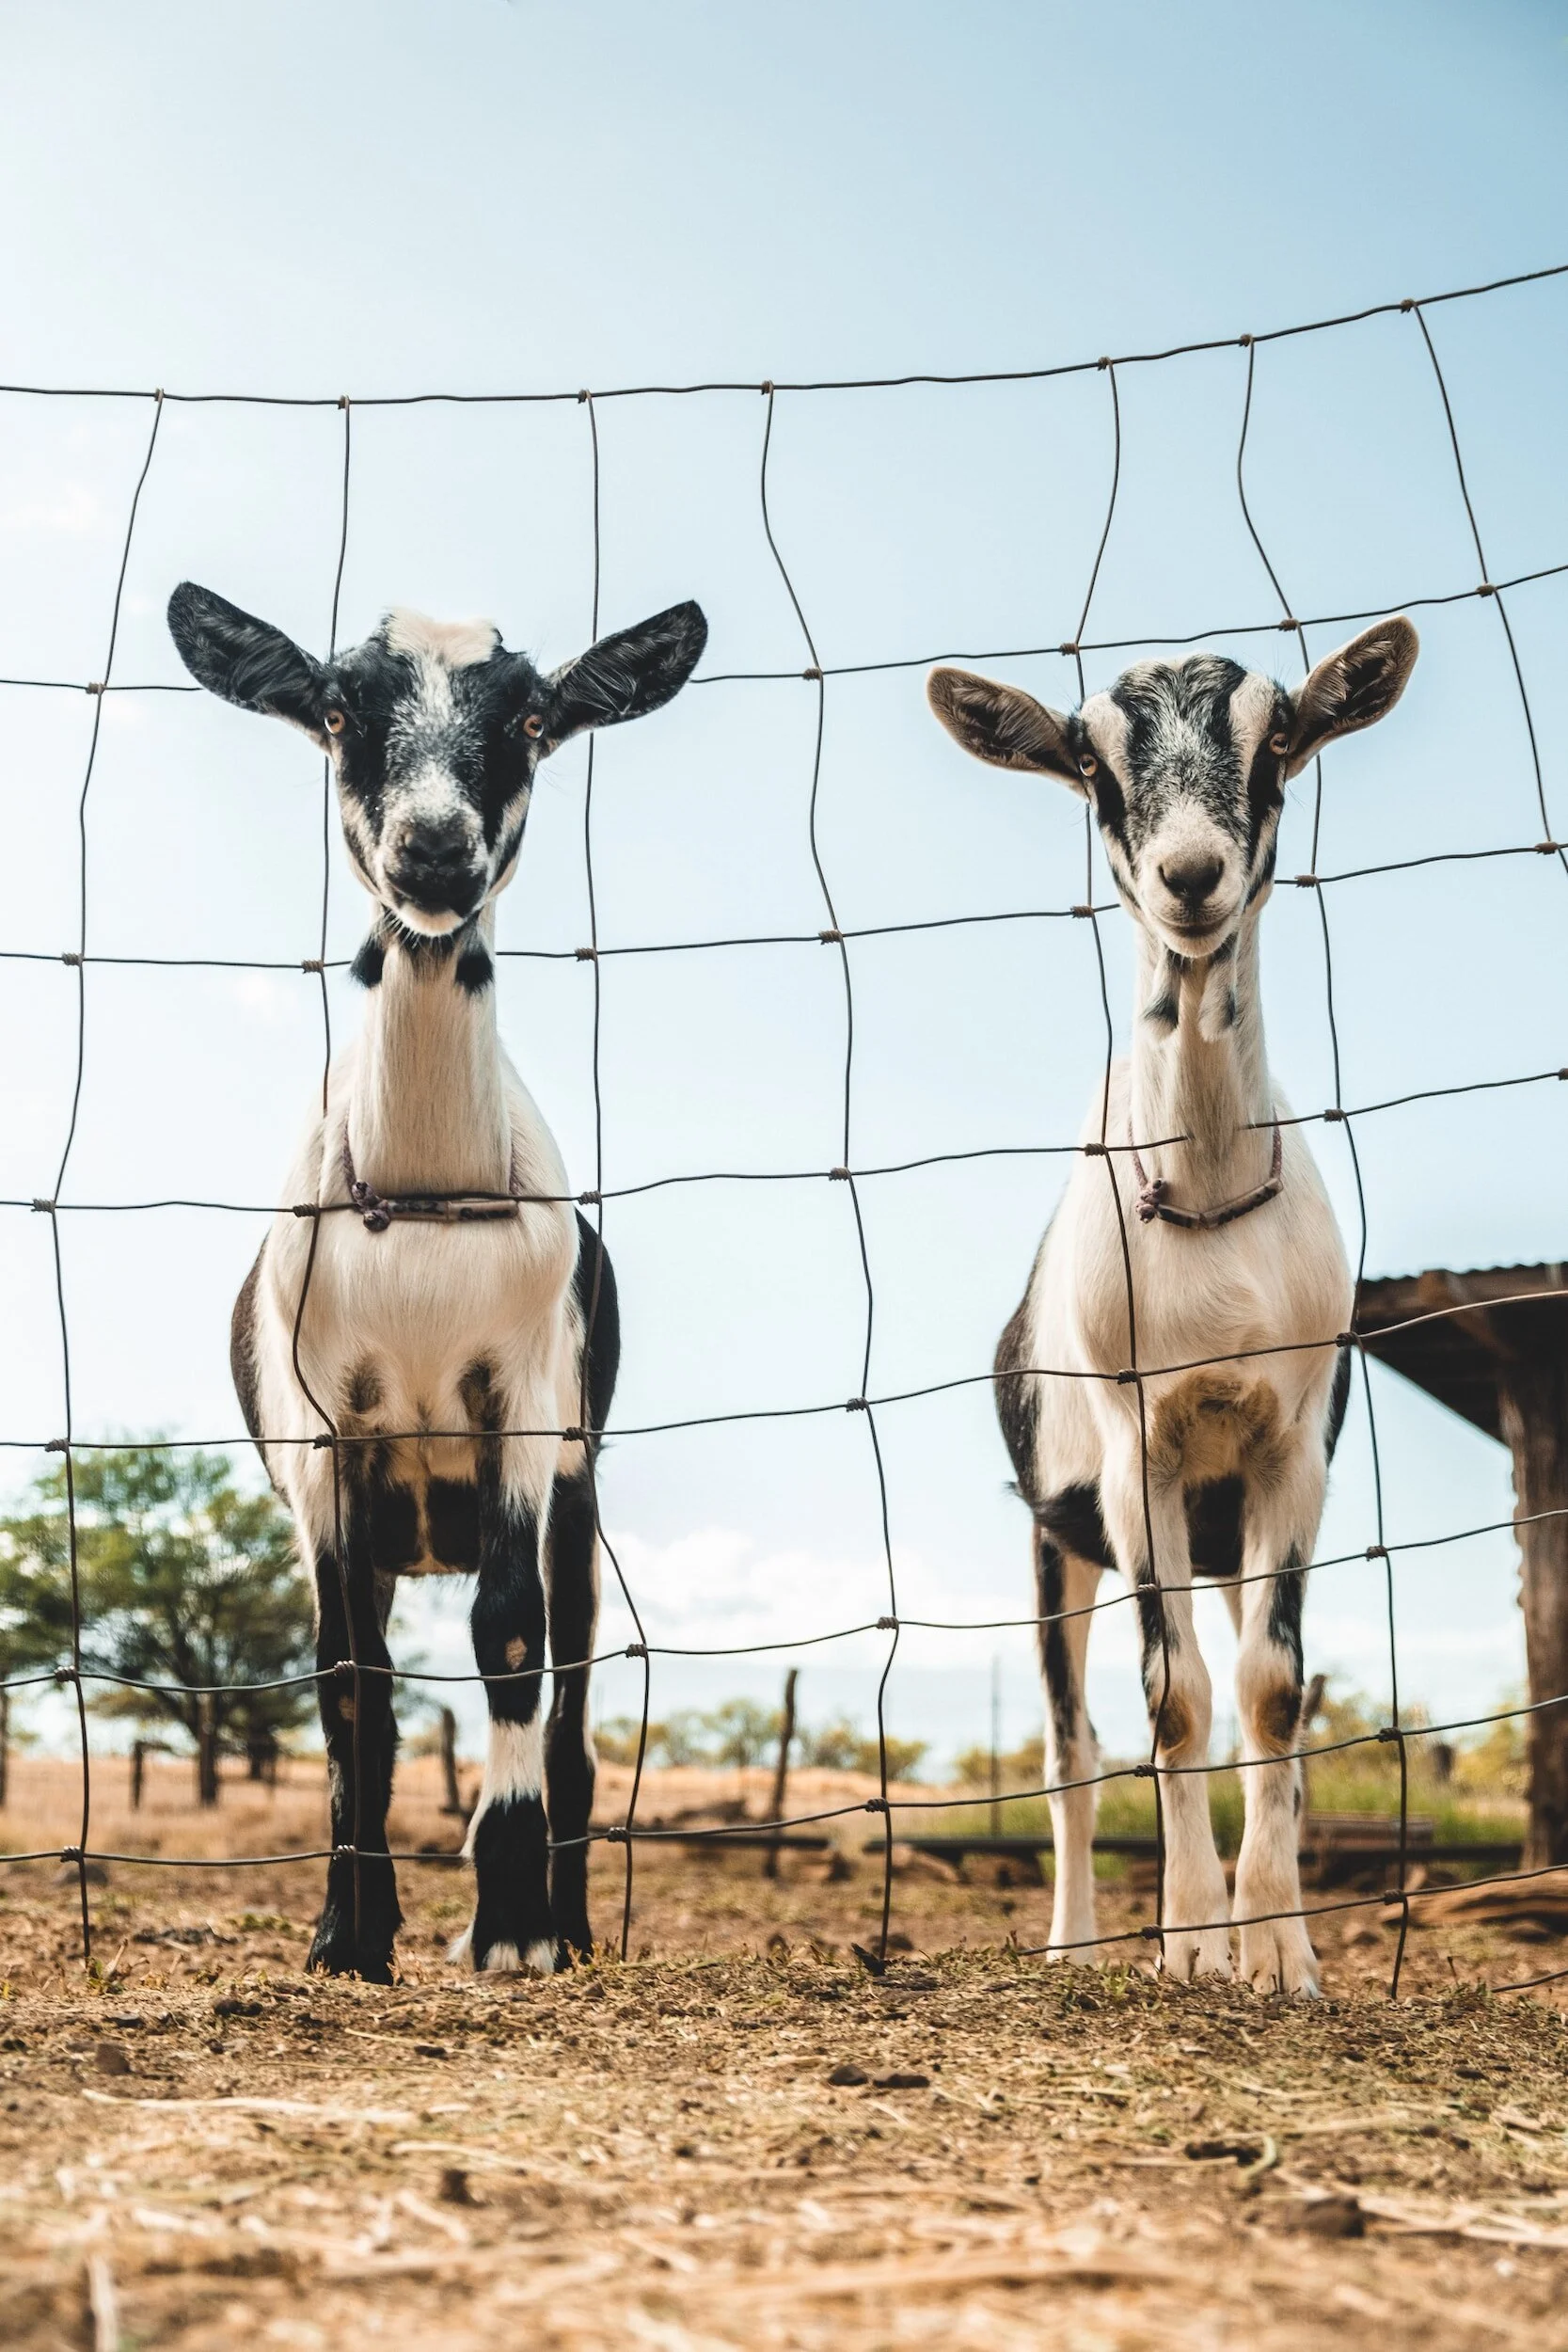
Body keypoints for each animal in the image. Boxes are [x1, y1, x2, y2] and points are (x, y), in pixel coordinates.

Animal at [169, 582, 707, 1982]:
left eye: (527, 717)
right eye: (339, 709)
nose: (433, 848)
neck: (418, 1196)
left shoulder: (518, 1398)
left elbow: (509, 1638)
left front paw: (509, 1926)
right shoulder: (326, 1435)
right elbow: (346, 1676)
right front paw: (347, 1937)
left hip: (577, 1491)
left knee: (570, 1702)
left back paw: (568, 1924)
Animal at [927, 620, 1418, 1994]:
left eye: (1279, 738)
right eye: (1090, 766)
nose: (1188, 877)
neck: (1199, 1187)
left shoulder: (1287, 1448)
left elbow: (1267, 1694)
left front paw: (1279, 1955)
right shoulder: (1132, 1449)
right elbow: (1170, 1699)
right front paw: (1192, 1945)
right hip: (1059, 1540)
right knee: (1069, 1752)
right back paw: (1078, 1943)